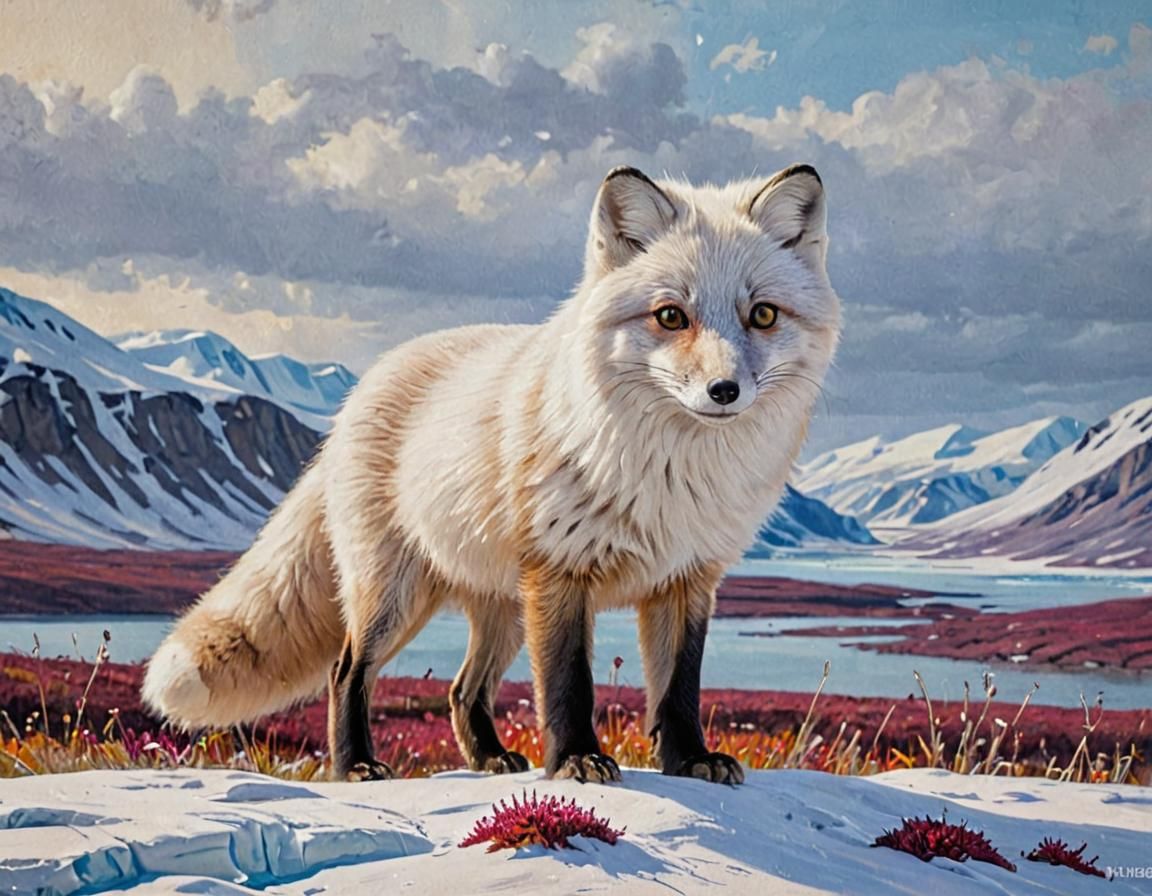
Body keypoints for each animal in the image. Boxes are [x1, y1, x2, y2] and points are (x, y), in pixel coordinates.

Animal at [143, 163, 841, 784]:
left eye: (763, 315)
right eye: (671, 316)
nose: (725, 391)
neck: (672, 477)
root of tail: (360, 391)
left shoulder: (687, 579)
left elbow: (679, 690)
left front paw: (691, 761)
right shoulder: (560, 571)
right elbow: (568, 684)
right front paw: (576, 761)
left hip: (501, 609)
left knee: (460, 690)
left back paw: (489, 759)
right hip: (396, 596)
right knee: (347, 670)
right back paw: (356, 766)